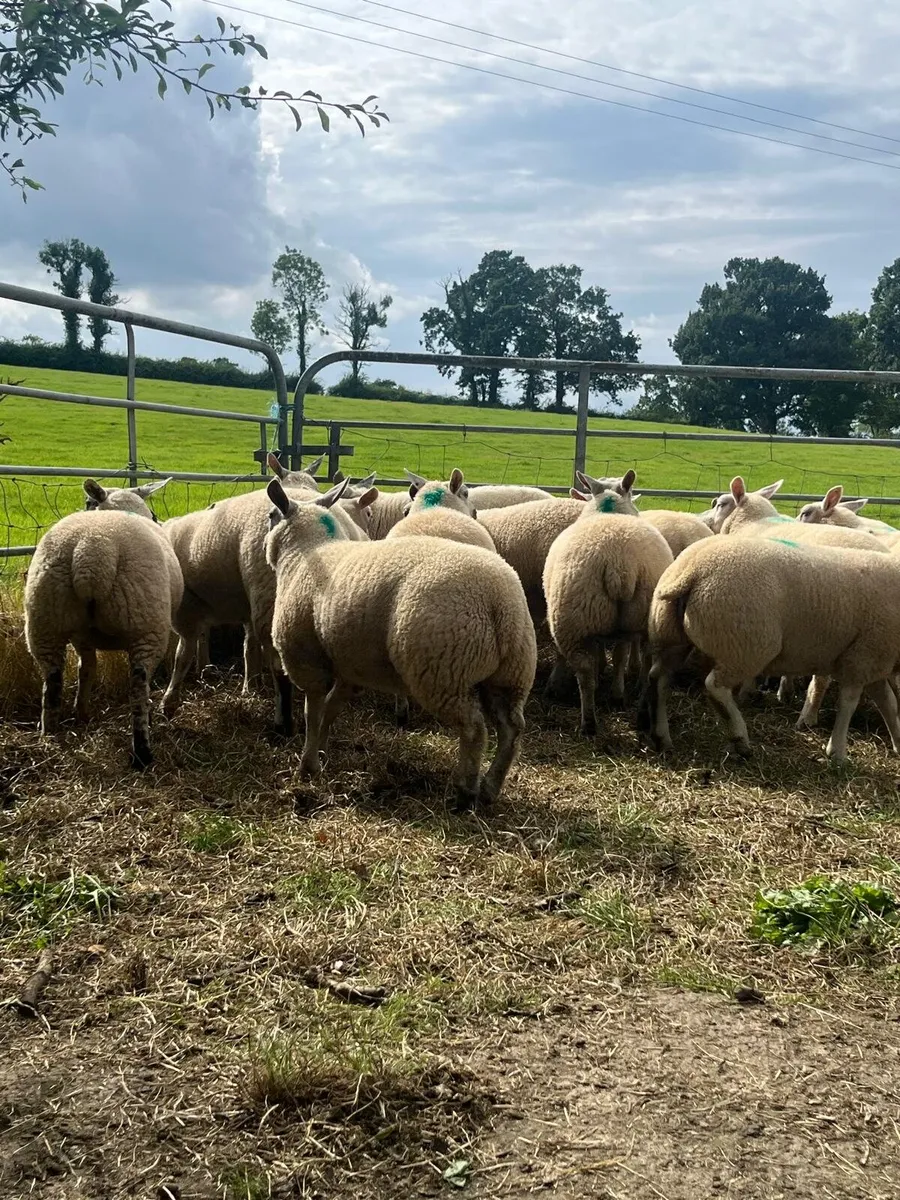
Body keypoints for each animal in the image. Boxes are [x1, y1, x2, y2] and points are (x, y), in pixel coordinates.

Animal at [25, 479, 183, 768]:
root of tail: (91, 551)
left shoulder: (82, 638)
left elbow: (86, 669)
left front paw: (82, 713)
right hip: (146, 623)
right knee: (138, 688)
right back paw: (142, 752)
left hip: (45, 621)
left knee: (52, 682)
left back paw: (49, 738)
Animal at [265, 477, 536, 809]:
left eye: (270, 516)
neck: (306, 553)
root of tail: (498, 602)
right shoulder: (350, 667)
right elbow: (330, 709)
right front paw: (322, 751)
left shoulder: (307, 661)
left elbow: (313, 713)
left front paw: (308, 767)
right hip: (511, 673)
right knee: (511, 730)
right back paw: (490, 788)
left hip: (443, 670)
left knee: (474, 730)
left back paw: (465, 790)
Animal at [543, 471, 673, 737]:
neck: (608, 509)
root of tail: (619, 565)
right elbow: (617, 655)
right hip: (644, 620)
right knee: (647, 668)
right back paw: (636, 713)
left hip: (573, 619)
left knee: (585, 673)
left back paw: (590, 722)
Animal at [641, 536, 900, 762]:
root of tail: (692, 570)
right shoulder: (863, 657)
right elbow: (848, 704)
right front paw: (837, 752)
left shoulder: (877, 664)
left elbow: (888, 704)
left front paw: (897, 741)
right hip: (746, 645)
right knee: (714, 686)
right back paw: (740, 739)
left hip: (672, 636)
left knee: (659, 679)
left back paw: (662, 737)